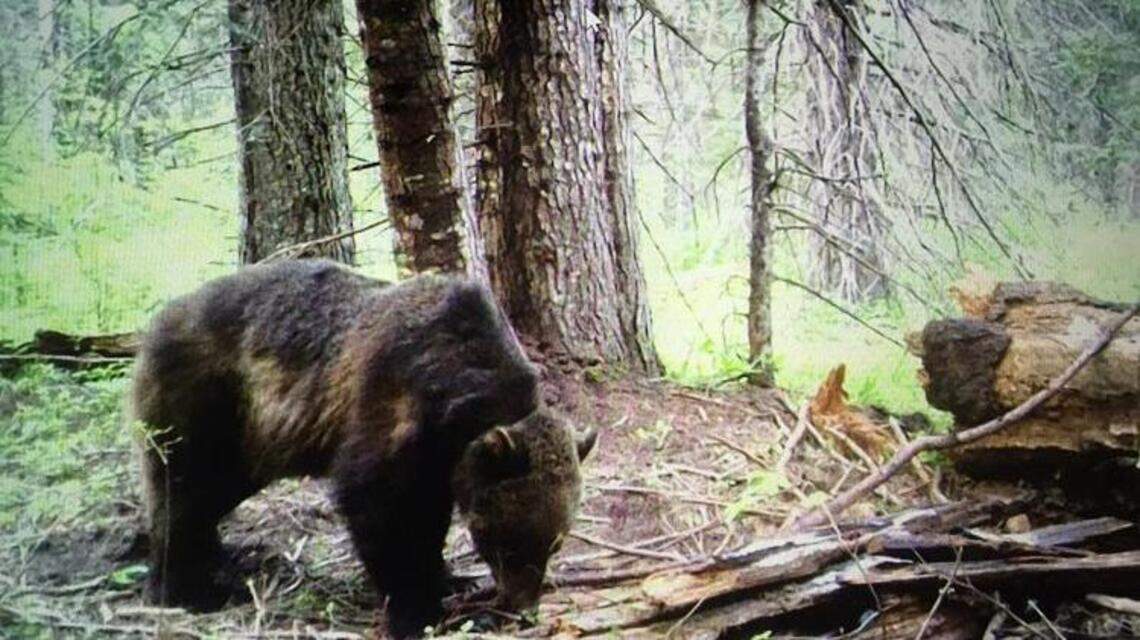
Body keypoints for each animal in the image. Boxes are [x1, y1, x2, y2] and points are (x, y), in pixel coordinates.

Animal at [130, 258, 539, 637]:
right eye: (505, 545)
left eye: (547, 542)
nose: (524, 605)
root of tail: (153, 327)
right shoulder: (387, 404)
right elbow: (376, 508)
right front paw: (418, 610)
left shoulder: (437, 454)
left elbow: (428, 514)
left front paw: (447, 578)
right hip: (204, 406)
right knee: (181, 496)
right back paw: (182, 590)